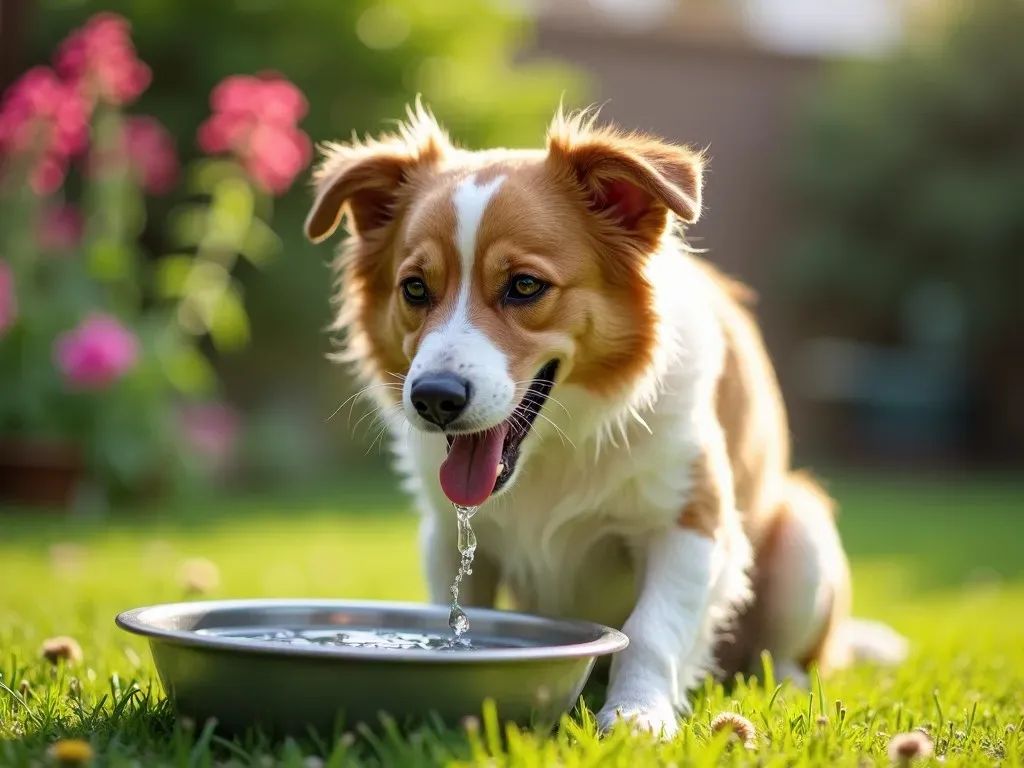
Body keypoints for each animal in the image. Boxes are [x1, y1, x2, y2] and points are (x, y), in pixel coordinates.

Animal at [301, 102, 905, 741]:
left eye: (524, 286)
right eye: (415, 288)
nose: (433, 398)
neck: (553, 448)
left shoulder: (691, 524)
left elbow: (651, 631)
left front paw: (638, 716)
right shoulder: (447, 534)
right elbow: (451, 613)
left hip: (803, 535)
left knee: (792, 654)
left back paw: (786, 686)